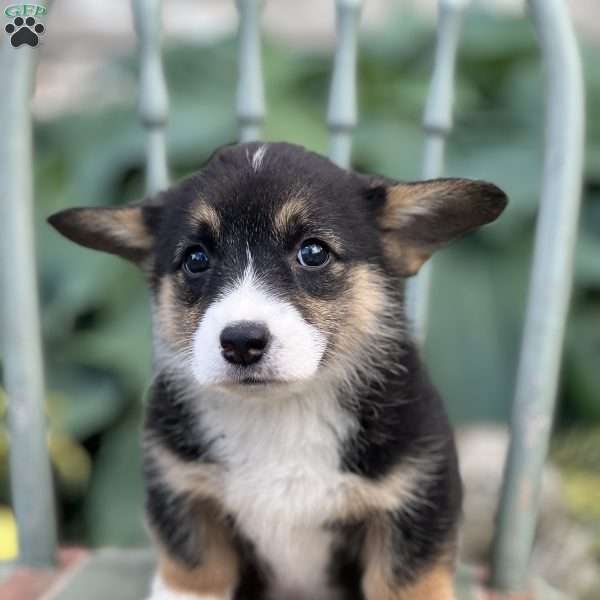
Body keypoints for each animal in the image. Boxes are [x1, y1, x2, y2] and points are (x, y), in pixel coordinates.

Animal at [49, 142, 506, 600]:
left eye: (313, 252)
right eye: (196, 259)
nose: (241, 342)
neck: (281, 412)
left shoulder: (415, 501)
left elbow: (403, 581)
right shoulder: (183, 494)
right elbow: (194, 573)